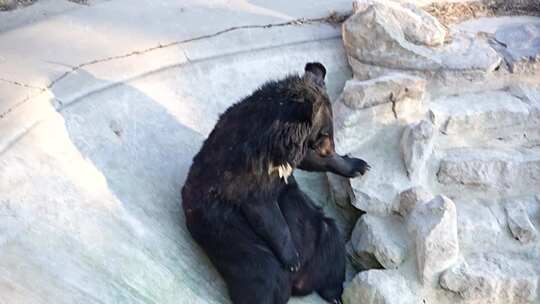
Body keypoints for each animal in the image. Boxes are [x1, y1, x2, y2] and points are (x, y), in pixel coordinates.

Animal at [184, 62, 370, 304]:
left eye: (330, 131)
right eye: (324, 133)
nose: (330, 150)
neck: (280, 143)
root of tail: (300, 284)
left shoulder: (292, 154)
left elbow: (309, 160)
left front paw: (359, 165)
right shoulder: (248, 167)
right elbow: (264, 210)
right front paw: (293, 259)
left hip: (322, 233)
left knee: (333, 246)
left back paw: (334, 294)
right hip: (229, 232)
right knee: (264, 275)